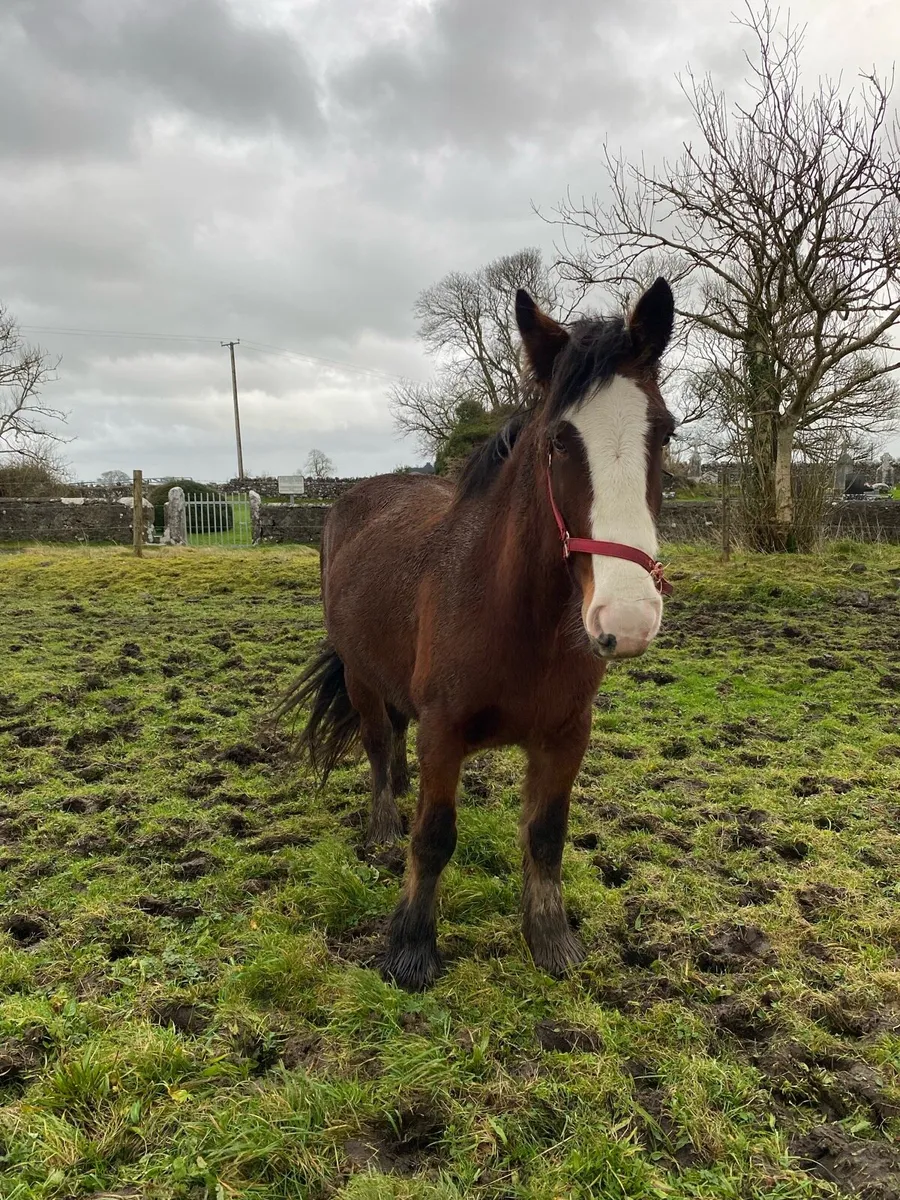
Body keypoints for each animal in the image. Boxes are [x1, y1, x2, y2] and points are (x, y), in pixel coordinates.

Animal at [279, 279, 677, 990]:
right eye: (558, 441)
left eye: (665, 432)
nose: (627, 618)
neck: (519, 619)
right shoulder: (444, 730)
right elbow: (434, 836)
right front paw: (411, 948)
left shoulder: (566, 734)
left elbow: (546, 834)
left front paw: (551, 939)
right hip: (360, 676)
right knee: (379, 744)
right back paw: (383, 824)